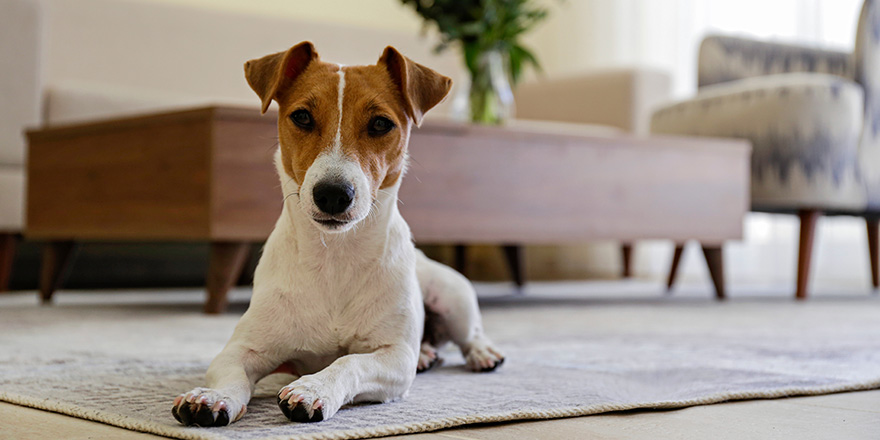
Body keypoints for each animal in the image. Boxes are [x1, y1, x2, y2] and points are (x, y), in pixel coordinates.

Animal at [172, 42, 506, 426]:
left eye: (380, 123)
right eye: (302, 117)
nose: (333, 194)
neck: (335, 255)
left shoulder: (394, 358)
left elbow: (349, 362)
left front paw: (313, 388)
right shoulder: (244, 348)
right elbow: (231, 373)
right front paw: (214, 397)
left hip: (451, 296)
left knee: (469, 333)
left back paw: (481, 353)